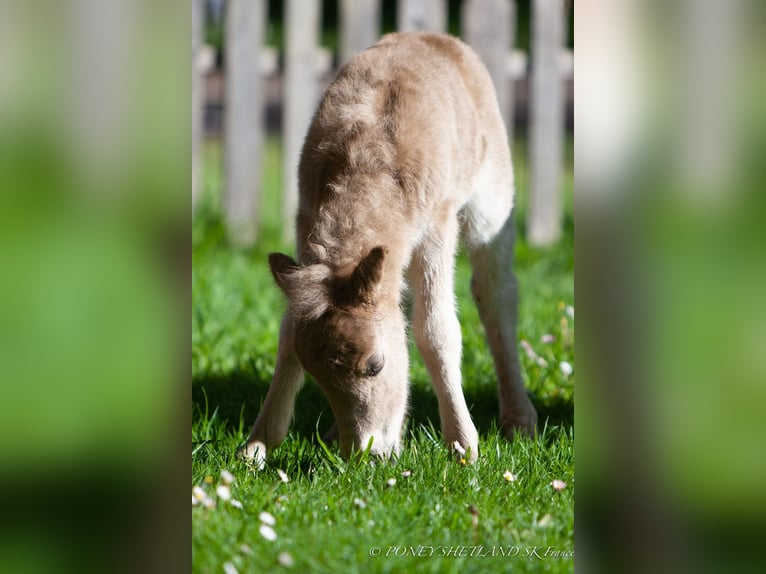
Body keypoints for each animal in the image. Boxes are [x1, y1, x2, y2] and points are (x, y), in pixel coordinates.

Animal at [243, 31, 536, 466]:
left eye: (375, 365)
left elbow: (437, 329)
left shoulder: (437, 224)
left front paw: (463, 446)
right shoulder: (305, 224)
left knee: (497, 293)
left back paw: (519, 418)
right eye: (315, 375)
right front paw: (256, 447)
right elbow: (288, 332)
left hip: (494, 199)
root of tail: (438, 37)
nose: (365, 456)